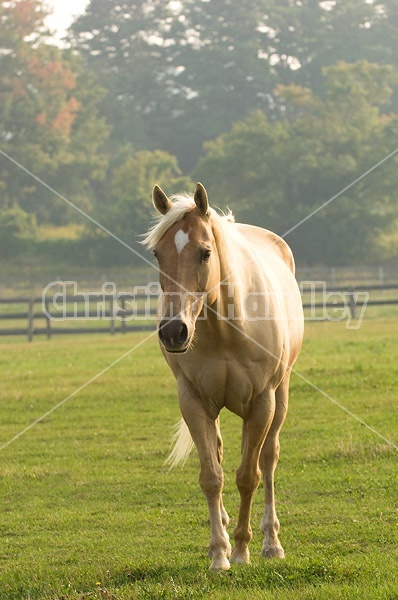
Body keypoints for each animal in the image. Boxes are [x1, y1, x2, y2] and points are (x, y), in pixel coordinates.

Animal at [141, 183, 304, 572]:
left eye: (204, 252)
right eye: (157, 254)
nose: (173, 332)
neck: (225, 329)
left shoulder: (261, 403)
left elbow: (249, 476)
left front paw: (243, 550)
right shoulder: (193, 402)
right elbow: (211, 477)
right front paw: (219, 553)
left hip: (279, 399)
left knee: (268, 460)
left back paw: (270, 542)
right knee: (219, 453)